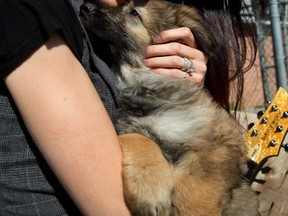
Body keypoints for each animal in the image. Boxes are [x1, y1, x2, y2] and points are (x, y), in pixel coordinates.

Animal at [79, 0, 258, 215]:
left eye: (134, 13)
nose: (85, 7)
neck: (144, 79)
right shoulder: (130, 126)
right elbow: (140, 139)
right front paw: (149, 190)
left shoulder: (221, 145)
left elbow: (198, 187)